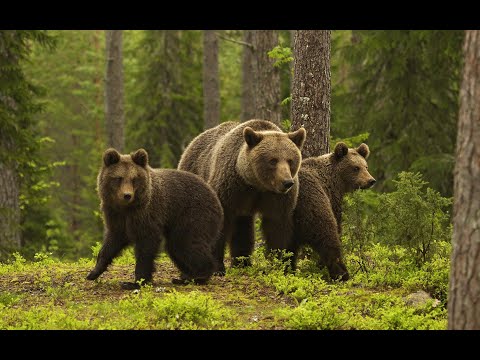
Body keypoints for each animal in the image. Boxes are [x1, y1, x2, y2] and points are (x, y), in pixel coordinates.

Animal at [86, 148, 225, 288]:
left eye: (134, 178)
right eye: (118, 178)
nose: (127, 195)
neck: (127, 208)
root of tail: (215, 197)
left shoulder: (146, 213)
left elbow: (146, 245)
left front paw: (136, 282)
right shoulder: (115, 215)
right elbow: (112, 241)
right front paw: (93, 272)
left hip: (193, 215)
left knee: (186, 243)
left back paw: (198, 276)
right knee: (175, 248)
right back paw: (185, 276)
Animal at [178, 119, 306, 274]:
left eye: (290, 160)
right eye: (273, 160)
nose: (287, 182)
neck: (256, 184)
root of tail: (192, 142)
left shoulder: (276, 198)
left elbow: (277, 227)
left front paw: (279, 264)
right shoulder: (230, 189)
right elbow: (220, 223)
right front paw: (217, 267)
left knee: (243, 227)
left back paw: (242, 262)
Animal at [290, 142, 376, 280]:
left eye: (366, 166)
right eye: (356, 168)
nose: (371, 181)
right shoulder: (331, 198)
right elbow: (336, 225)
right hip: (312, 203)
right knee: (327, 235)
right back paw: (342, 274)